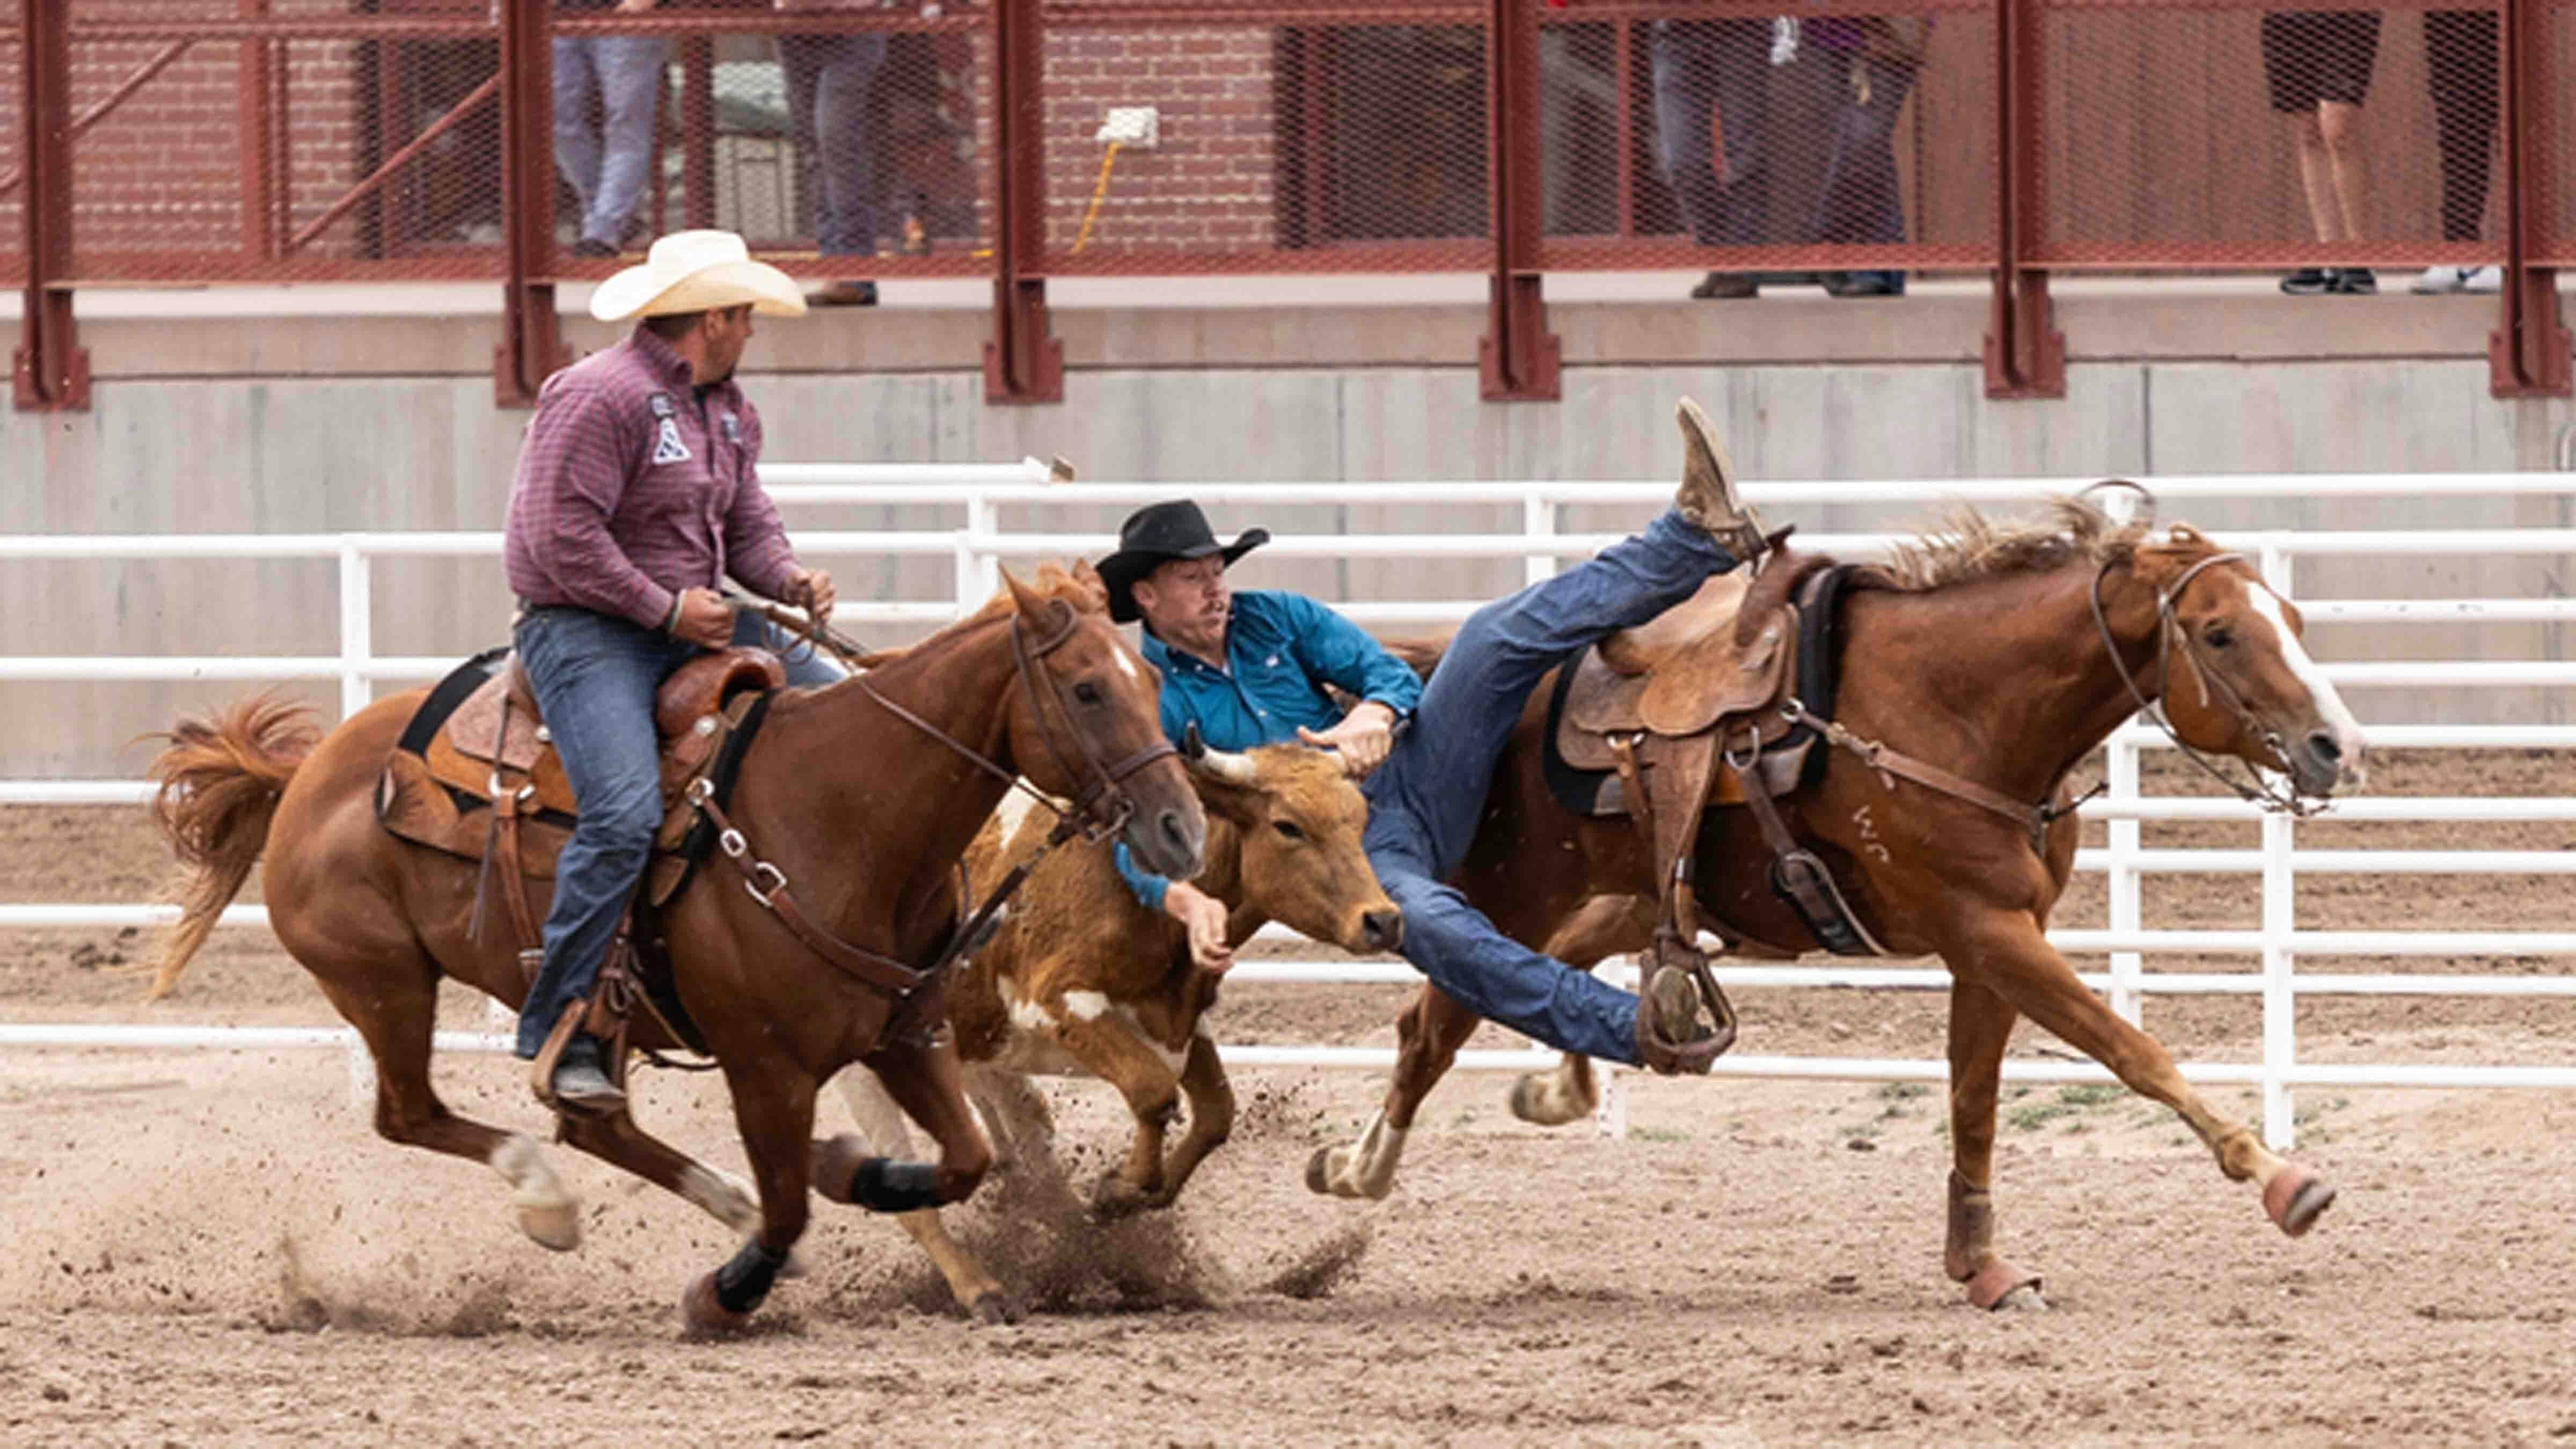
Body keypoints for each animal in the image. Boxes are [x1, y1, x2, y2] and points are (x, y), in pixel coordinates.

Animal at [130, 565, 1195, 1330]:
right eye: (1089, 690)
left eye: (1152, 678)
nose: (1180, 830)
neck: (840, 815)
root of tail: (307, 770)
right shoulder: (767, 1067)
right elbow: (794, 1202)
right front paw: (724, 1293)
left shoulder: (909, 1033)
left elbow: (966, 1158)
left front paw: (847, 1172)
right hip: (385, 983)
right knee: (413, 1114)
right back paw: (550, 1202)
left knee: (591, 1122)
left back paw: (710, 1204)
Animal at [1319, 500, 2359, 1309]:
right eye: (2220, 632)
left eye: (2295, 617)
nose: (2336, 748)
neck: (1953, 708)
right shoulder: (1988, 931)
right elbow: (2132, 1051)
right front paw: (2285, 1181)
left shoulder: (1991, 941)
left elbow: (1974, 1097)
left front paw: (1980, 1265)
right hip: (1515, 891)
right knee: (1434, 1023)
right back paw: (1359, 1171)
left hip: (1630, 898)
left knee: (1532, 982)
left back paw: (1547, 1093)